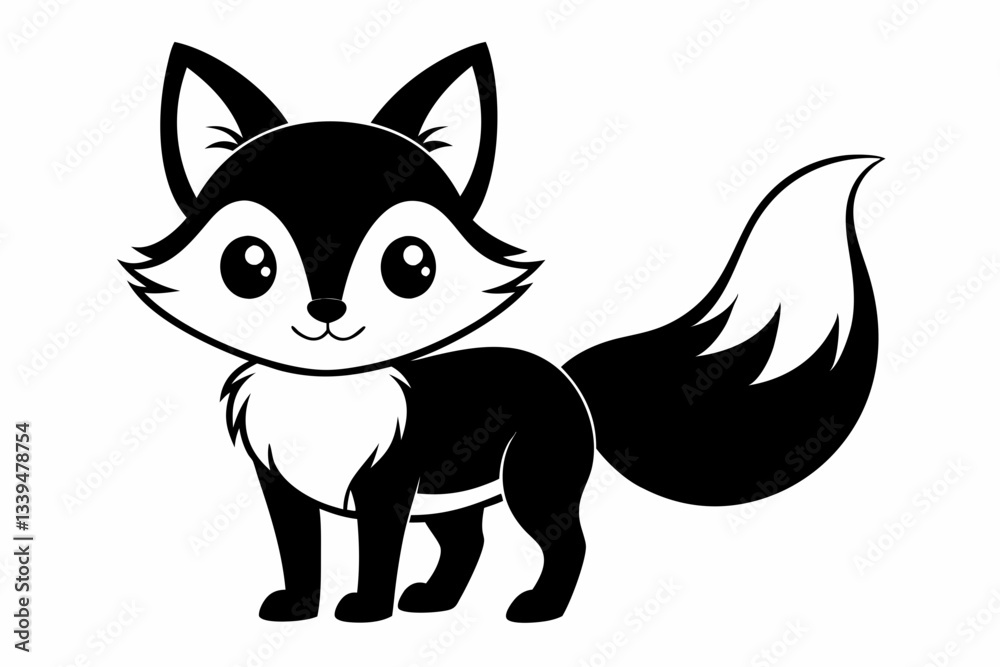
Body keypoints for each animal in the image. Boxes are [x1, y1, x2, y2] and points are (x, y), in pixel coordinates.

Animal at [123, 42, 879, 624]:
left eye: (410, 265)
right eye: (249, 264)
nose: (327, 309)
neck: (326, 395)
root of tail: (569, 380)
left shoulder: (387, 487)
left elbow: (375, 554)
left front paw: (367, 610)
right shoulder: (281, 487)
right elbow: (299, 552)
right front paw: (298, 609)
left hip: (531, 481)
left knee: (567, 545)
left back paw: (538, 608)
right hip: (456, 493)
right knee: (466, 546)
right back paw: (435, 600)